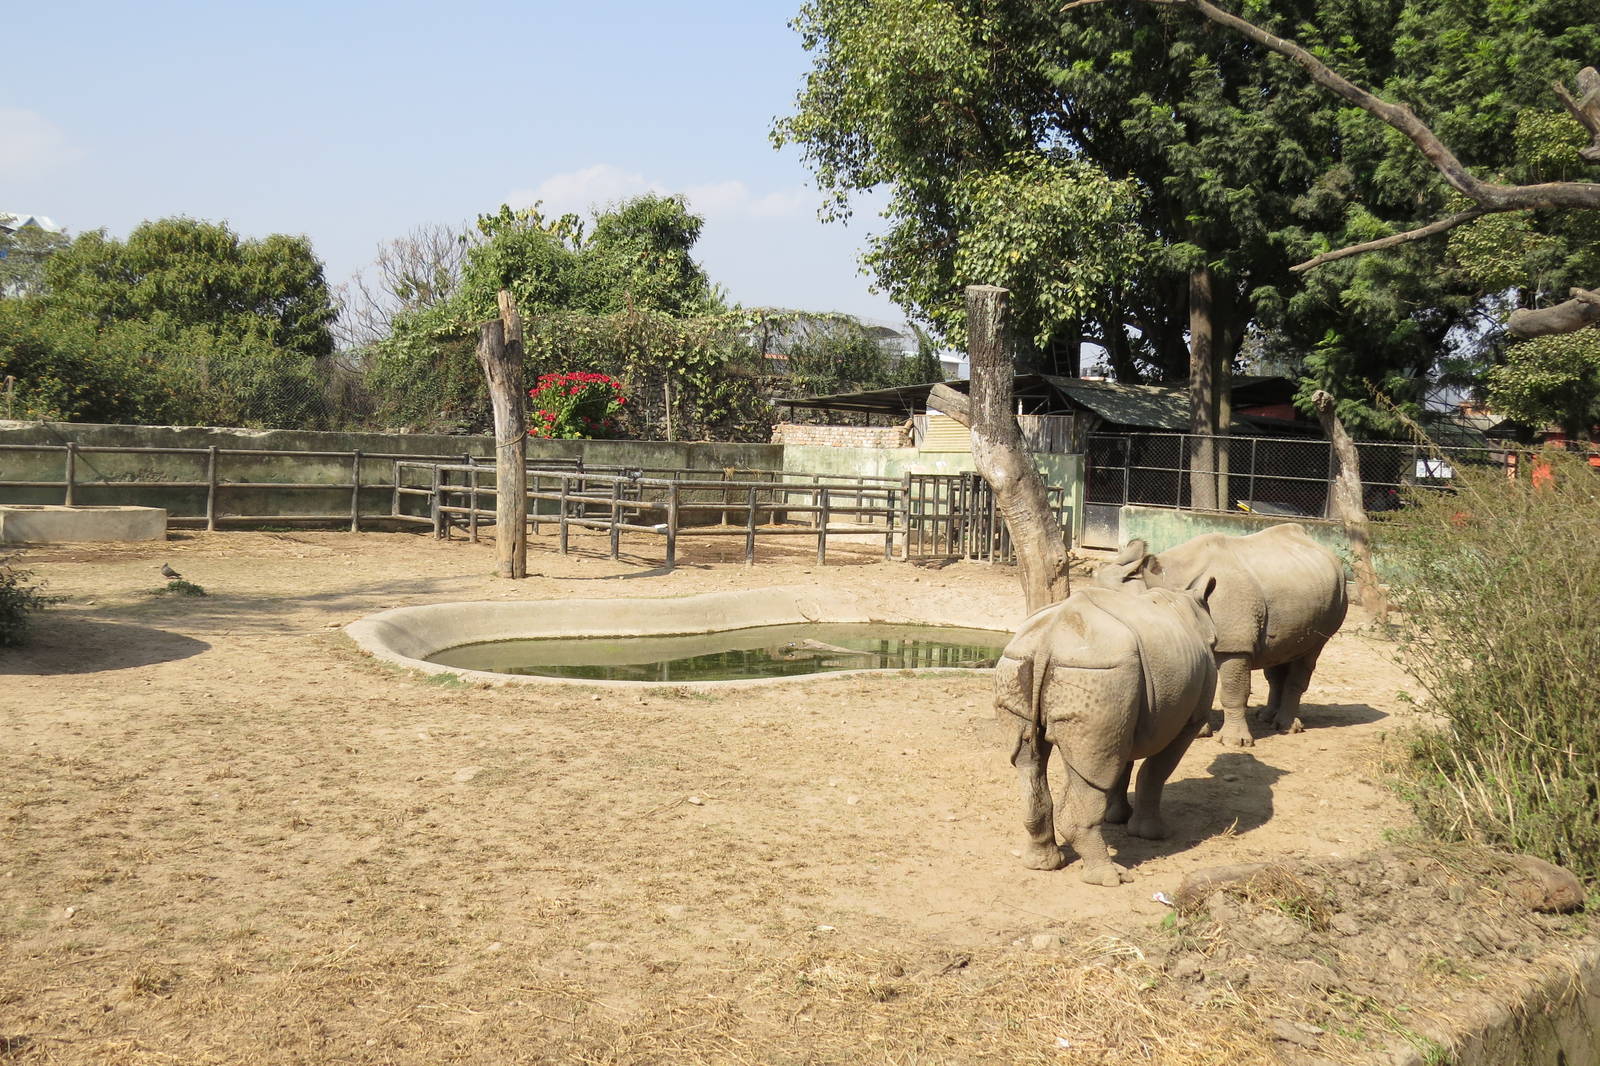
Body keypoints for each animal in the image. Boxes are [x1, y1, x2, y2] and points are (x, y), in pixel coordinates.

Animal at [994, 585, 1218, 886]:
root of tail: (1047, 639)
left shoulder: (1126, 712)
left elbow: (1121, 765)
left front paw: (1118, 817)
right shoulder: (1190, 721)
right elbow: (1155, 772)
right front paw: (1152, 834)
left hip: (1025, 663)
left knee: (1030, 762)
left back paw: (1042, 864)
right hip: (1098, 670)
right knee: (1091, 769)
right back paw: (1111, 877)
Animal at [1093, 523, 1348, 747]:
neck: (1164, 582)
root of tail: (1326, 551)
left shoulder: (1235, 645)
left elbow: (1233, 691)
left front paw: (1235, 742)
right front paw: (1200, 732)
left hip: (1339, 594)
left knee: (1310, 653)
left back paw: (1286, 727)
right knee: (1278, 655)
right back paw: (1266, 717)